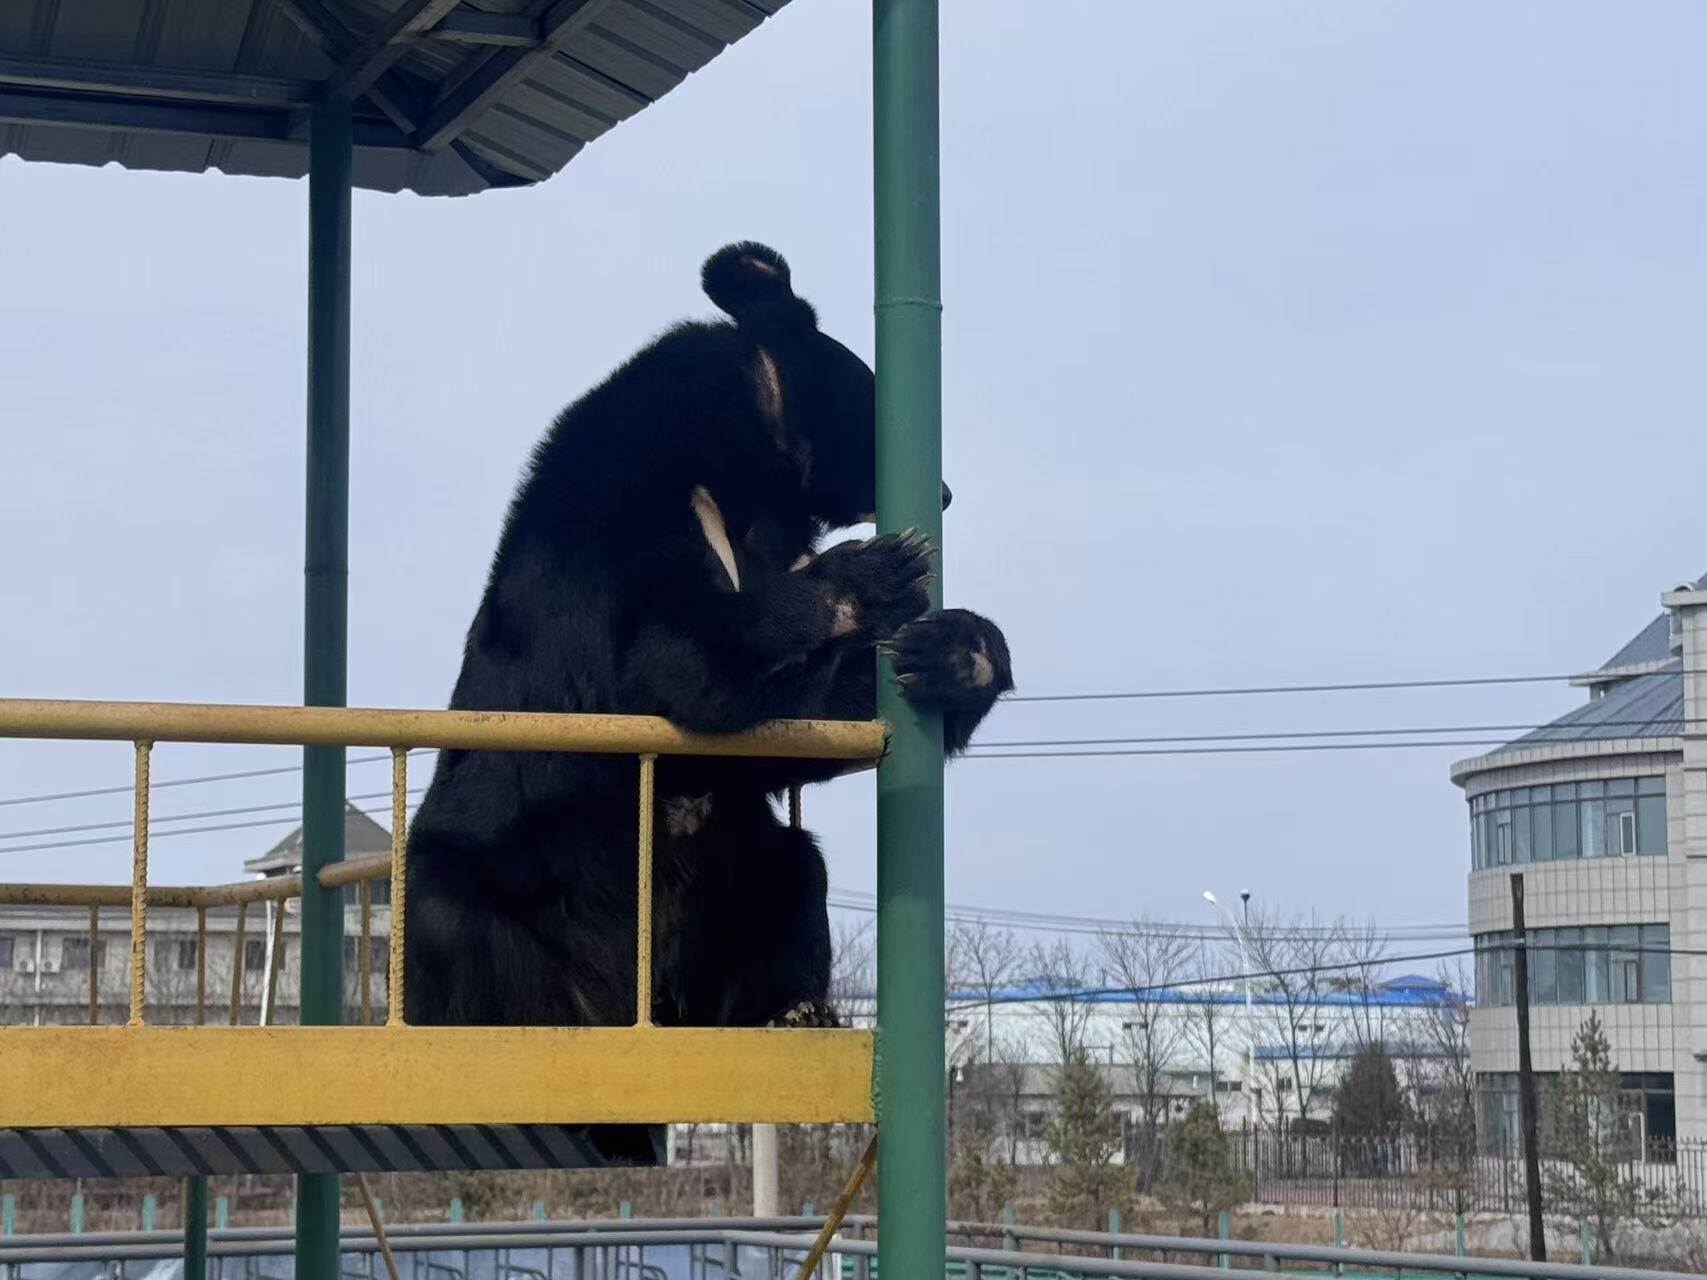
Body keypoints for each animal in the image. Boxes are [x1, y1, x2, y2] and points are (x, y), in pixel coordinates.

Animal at [402, 242, 1012, 1162]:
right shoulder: (620, 517)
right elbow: (676, 662)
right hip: (492, 894)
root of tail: (630, 1010)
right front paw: (875, 573)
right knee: (448, 922)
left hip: (724, 915)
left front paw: (956, 652)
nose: (941, 492)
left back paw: (795, 1013)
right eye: (873, 406)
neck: (751, 476)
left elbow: (796, 730)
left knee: (795, 870)